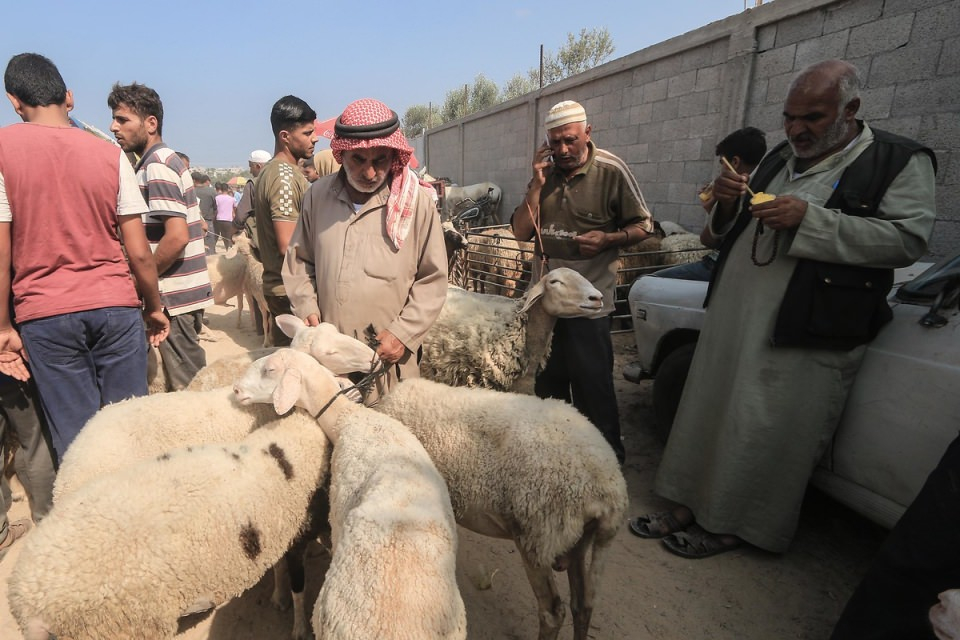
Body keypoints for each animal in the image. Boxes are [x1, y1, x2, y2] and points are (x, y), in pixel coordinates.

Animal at [6, 410, 330, 640]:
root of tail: (26, 602)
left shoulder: (284, 529)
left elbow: (280, 569)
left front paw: (279, 598)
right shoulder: (299, 532)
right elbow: (299, 588)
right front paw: (300, 627)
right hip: (118, 627)